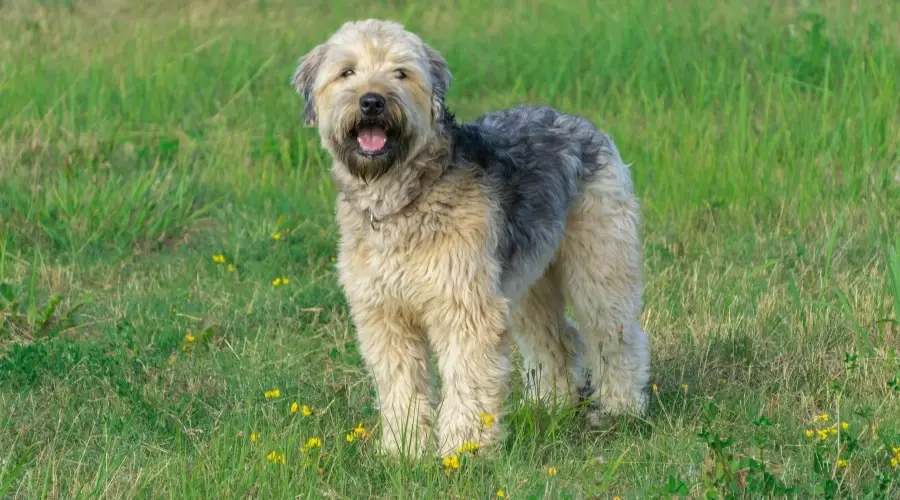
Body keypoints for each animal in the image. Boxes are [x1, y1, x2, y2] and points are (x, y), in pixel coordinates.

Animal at [292, 19, 652, 458]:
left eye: (401, 73)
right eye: (347, 72)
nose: (372, 102)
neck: (403, 198)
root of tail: (584, 125)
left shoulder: (464, 303)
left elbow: (468, 379)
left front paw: (465, 451)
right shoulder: (385, 314)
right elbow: (400, 385)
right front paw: (404, 451)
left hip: (599, 264)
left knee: (616, 336)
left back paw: (620, 408)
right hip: (527, 282)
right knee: (559, 339)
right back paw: (550, 405)